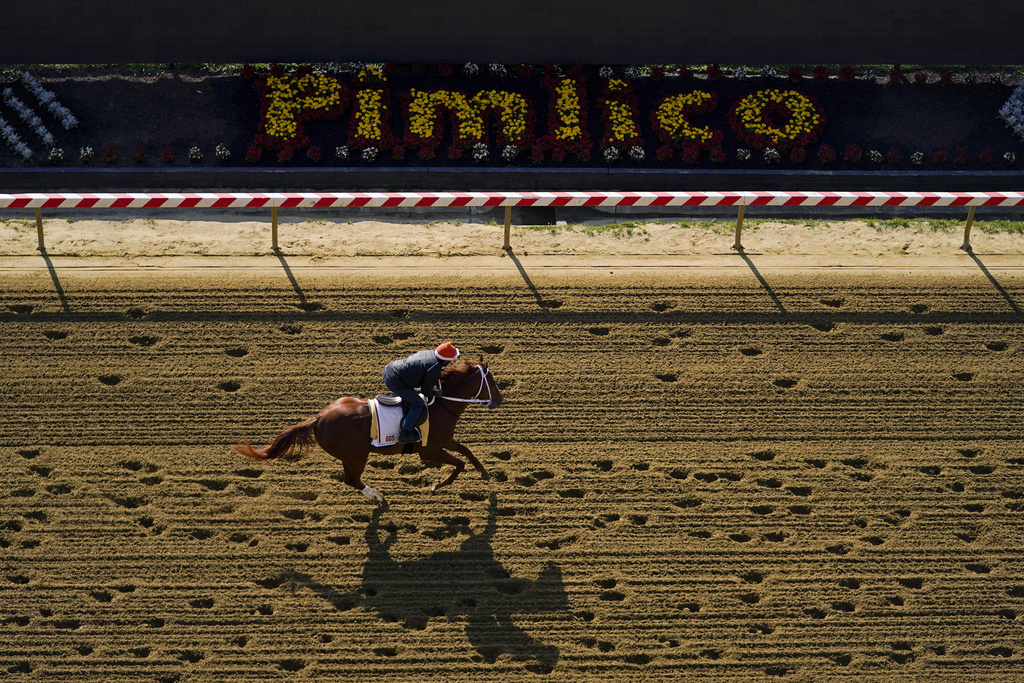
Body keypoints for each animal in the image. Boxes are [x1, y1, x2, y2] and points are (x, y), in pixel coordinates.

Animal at [231, 360, 503, 509]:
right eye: (491, 381)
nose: (500, 399)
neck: (439, 406)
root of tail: (319, 418)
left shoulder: (444, 441)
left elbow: (467, 452)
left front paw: (485, 473)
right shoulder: (429, 451)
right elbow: (458, 465)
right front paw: (437, 485)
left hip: (350, 455)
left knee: (350, 480)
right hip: (356, 455)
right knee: (352, 480)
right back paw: (379, 498)